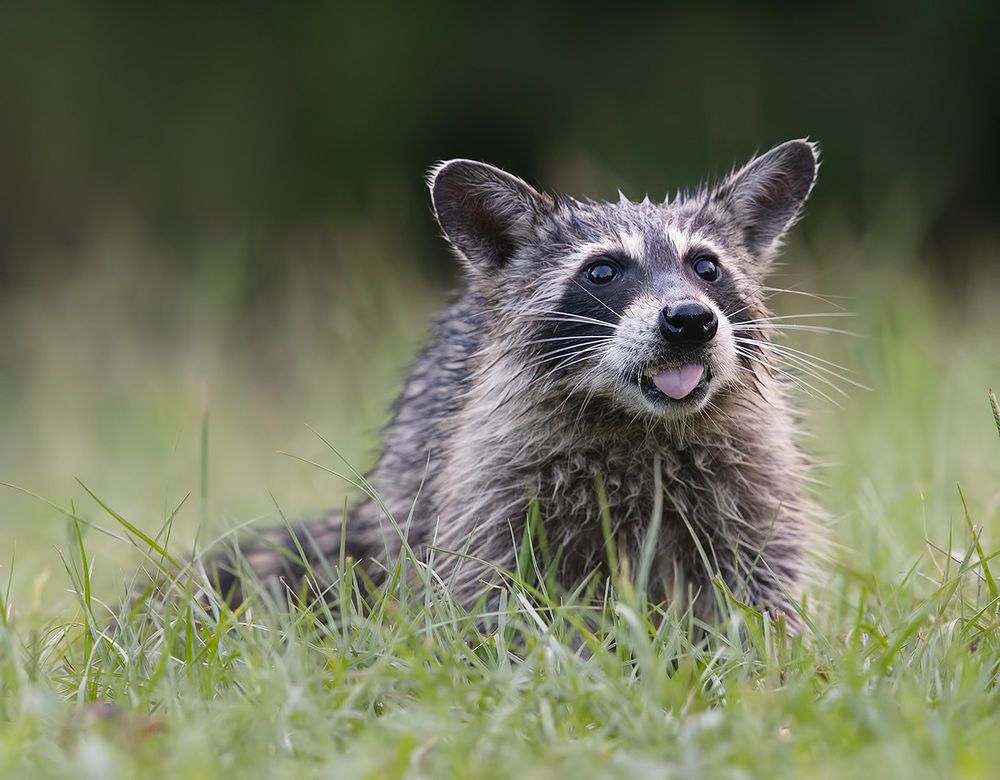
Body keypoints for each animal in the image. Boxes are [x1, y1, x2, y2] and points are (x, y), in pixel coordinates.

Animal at [211, 140, 822, 622]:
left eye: (706, 267)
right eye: (602, 271)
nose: (690, 320)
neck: (640, 423)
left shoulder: (750, 476)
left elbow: (759, 571)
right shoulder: (490, 476)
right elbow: (492, 581)